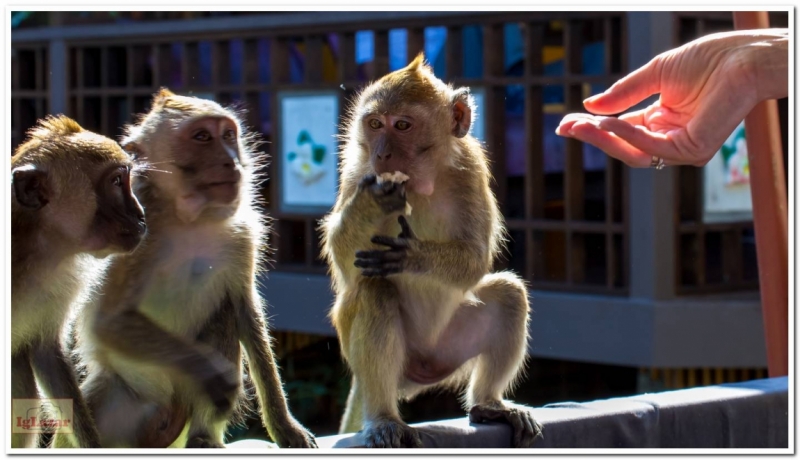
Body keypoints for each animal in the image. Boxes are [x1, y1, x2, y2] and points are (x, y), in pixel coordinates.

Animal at [63, 88, 318, 448]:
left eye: (228, 135)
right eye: (202, 137)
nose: (231, 160)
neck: (189, 218)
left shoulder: (242, 236)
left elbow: (244, 311)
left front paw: (284, 426)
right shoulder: (132, 233)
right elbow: (110, 321)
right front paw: (209, 372)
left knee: (224, 316)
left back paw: (203, 435)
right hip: (122, 401)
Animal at [322, 52, 540, 448]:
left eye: (402, 125)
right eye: (375, 124)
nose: (382, 153)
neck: (419, 184)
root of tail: (418, 371)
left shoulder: (470, 170)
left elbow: (475, 259)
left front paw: (413, 256)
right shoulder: (356, 169)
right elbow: (345, 263)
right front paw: (370, 204)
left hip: (446, 349)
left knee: (509, 294)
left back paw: (488, 403)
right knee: (374, 291)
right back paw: (383, 418)